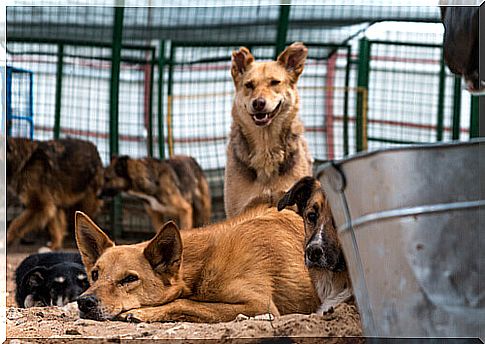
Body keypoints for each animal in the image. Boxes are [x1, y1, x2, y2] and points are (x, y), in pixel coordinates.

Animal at [73, 207, 320, 322]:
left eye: (129, 279)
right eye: (95, 274)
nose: (84, 302)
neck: (203, 262)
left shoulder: (260, 306)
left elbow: (187, 302)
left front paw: (145, 312)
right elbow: (191, 301)